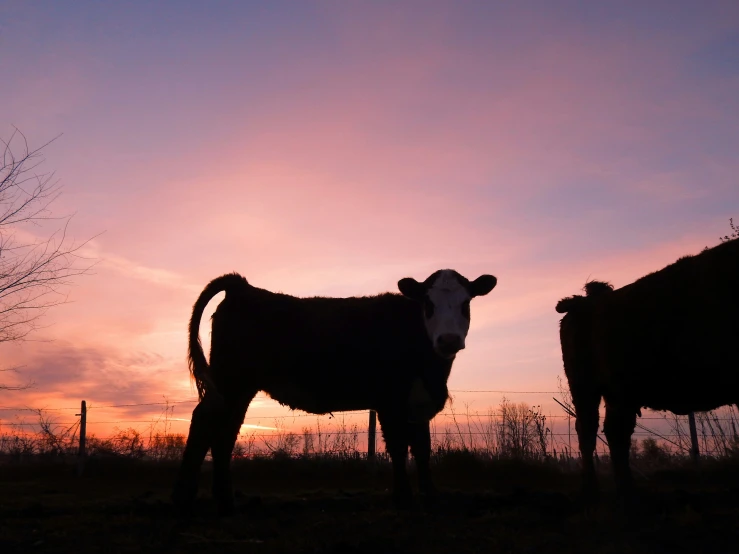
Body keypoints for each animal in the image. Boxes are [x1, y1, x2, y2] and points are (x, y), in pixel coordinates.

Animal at [173, 268, 498, 512]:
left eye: (466, 303)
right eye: (428, 304)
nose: (448, 339)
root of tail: (243, 287)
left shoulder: (417, 401)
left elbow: (422, 448)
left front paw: (430, 497)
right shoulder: (390, 401)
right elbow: (398, 448)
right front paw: (403, 498)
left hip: (239, 389)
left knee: (225, 433)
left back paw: (225, 500)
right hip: (230, 380)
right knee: (204, 423)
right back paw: (184, 498)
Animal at [556, 237, 739, 496]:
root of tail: (584, 301)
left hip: (618, 392)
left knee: (616, 432)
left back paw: (627, 489)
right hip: (585, 388)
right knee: (588, 430)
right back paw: (591, 488)